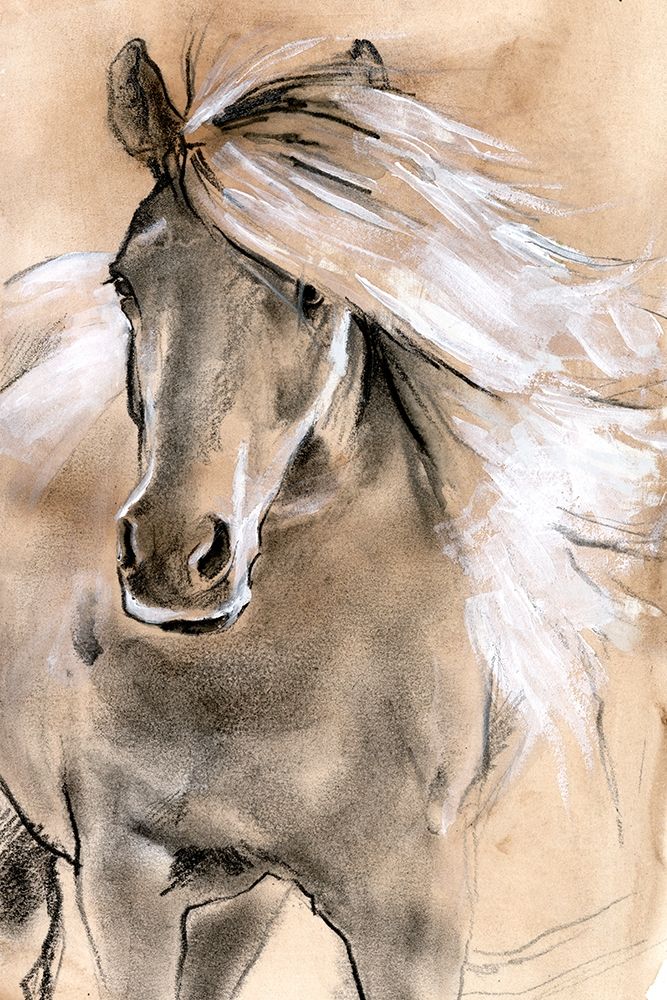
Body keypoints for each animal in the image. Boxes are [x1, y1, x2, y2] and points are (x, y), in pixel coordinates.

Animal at [1, 31, 666, 1000]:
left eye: (314, 289)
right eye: (126, 284)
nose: (171, 557)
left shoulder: (412, 916)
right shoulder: (126, 886)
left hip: (236, 899)